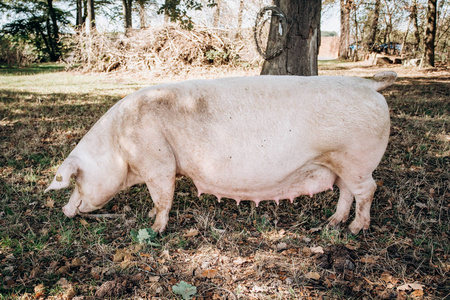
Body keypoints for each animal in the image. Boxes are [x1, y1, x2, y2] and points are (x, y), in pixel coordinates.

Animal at [46, 72, 398, 234]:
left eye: (77, 180)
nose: (64, 209)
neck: (120, 146)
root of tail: (369, 85)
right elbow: (156, 198)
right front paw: (147, 219)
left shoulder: (157, 161)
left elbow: (162, 196)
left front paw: (155, 230)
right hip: (340, 162)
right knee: (346, 192)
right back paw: (331, 223)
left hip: (356, 159)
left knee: (368, 189)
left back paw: (355, 230)